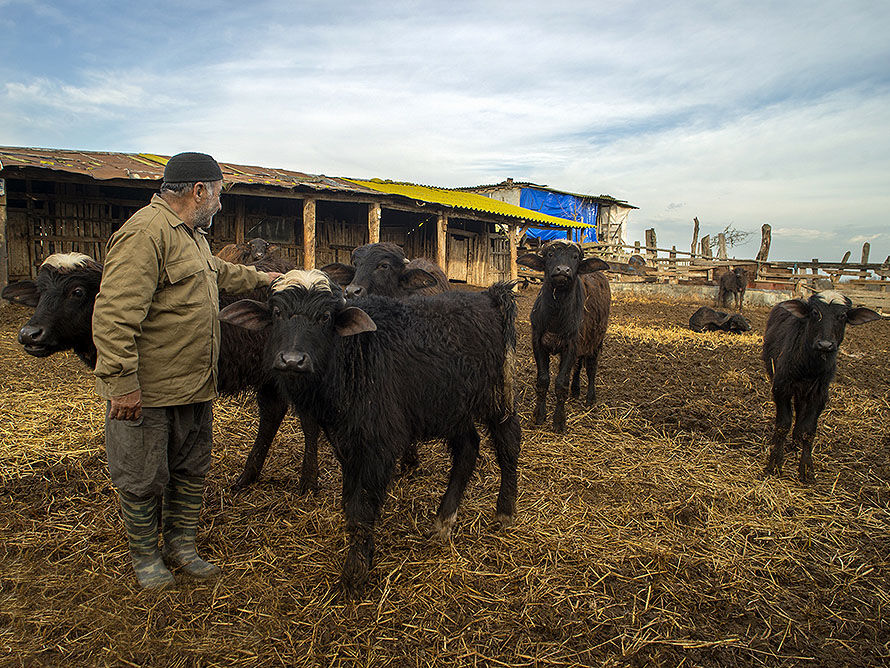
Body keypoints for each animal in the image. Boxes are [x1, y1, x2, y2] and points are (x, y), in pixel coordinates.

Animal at [219, 272, 520, 596]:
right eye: (277, 313)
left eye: (325, 317)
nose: (292, 360)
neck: (354, 356)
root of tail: (488, 296)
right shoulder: (346, 443)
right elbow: (350, 504)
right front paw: (364, 556)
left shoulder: (378, 445)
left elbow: (362, 507)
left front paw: (355, 572)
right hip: (452, 408)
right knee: (468, 449)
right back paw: (443, 522)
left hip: (496, 399)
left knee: (509, 444)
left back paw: (504, 511)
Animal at [760, 290, 876, 482]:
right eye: (815, 312)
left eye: (842, 316)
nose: (825, 344)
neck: (809, 366)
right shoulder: (781, 387)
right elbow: (783, 424)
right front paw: (774, 463)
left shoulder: (820, 394)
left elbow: (808, 430)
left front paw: (806, 469)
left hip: (804, 391)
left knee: (800, 410)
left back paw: (796, 442)